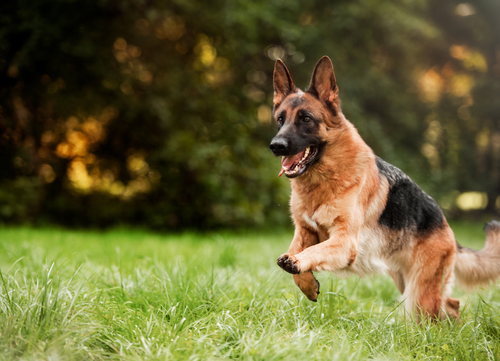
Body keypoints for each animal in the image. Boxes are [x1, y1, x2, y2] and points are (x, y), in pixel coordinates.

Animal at [270, 56, 500, 320]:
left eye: (306, 118)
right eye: (280, 120)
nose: (276, 146)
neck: (323, 181)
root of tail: (446, 225)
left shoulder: (344, 242)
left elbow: (312, 252)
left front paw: (298, 264)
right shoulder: (305, 231)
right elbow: (294, 254)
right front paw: (306, 283)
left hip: (419, 293)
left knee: (438, 310)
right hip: (405, 280)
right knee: (451, 303)